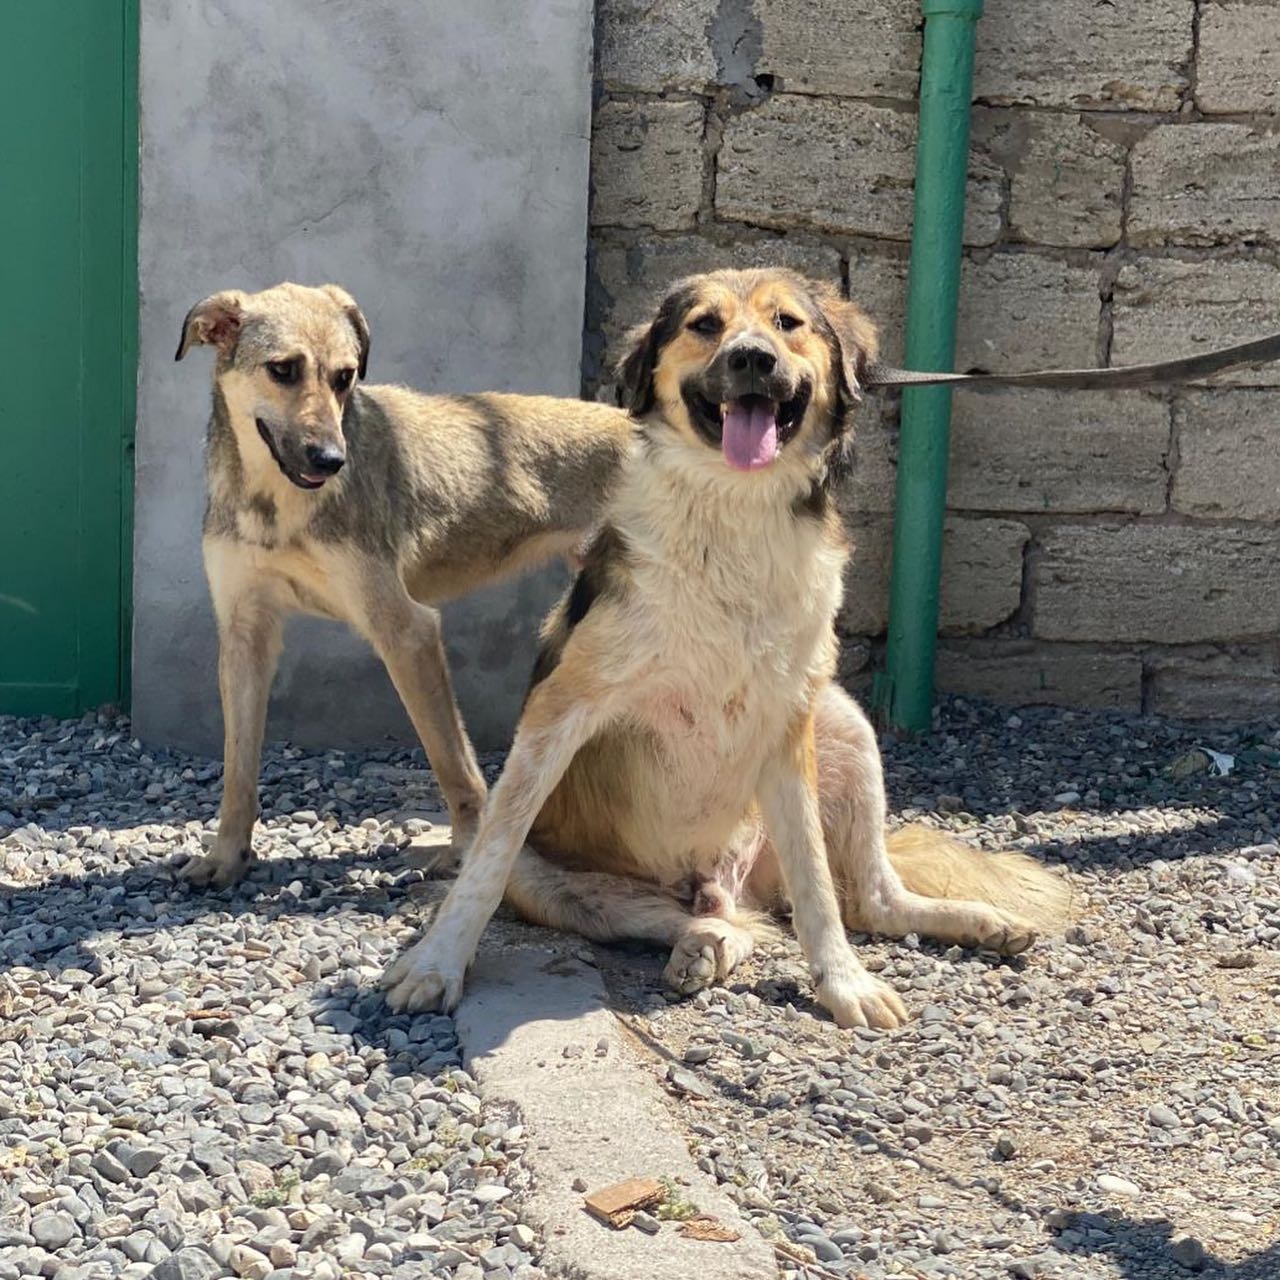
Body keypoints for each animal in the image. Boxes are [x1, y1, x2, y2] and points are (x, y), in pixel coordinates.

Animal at [172, 284, 632, 885]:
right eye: (283, 369)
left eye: (344, 376)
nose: (332, 459)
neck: (274, 504)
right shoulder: (246, 632)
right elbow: (238, 771)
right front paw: (226, 858)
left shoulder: (407, 630)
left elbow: (452, 761)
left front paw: (464, 853)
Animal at [381, 270, 1070, 1029]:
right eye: (705, 326)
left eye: (788, 323)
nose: (752, 359)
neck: (735, 510)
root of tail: (726, 881)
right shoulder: (558, 713)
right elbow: (487, 865)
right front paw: (437, 964)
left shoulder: (787, 723)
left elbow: (818, 890)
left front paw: (844, 985)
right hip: (560, 874)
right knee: (707, 919)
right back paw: (701, 948)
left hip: (843, 722)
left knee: (866, 899)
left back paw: (978, 922)